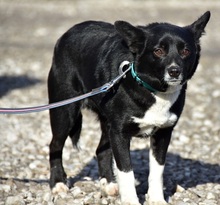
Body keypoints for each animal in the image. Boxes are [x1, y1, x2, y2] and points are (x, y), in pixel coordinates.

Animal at [47, 11, 210, 205]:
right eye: (158, 51)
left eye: (185, 51)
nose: (174, 71)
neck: (153, 89)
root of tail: (67, 34)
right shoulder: (120, 134)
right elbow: (126, 172)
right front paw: (131, 200)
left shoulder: (162, 134)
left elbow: (157, 171)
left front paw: (156, 199)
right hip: (65, 112)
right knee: (55, 146)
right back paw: (58, 184)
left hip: (107, 123)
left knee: (101, 150)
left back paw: (108, 185)